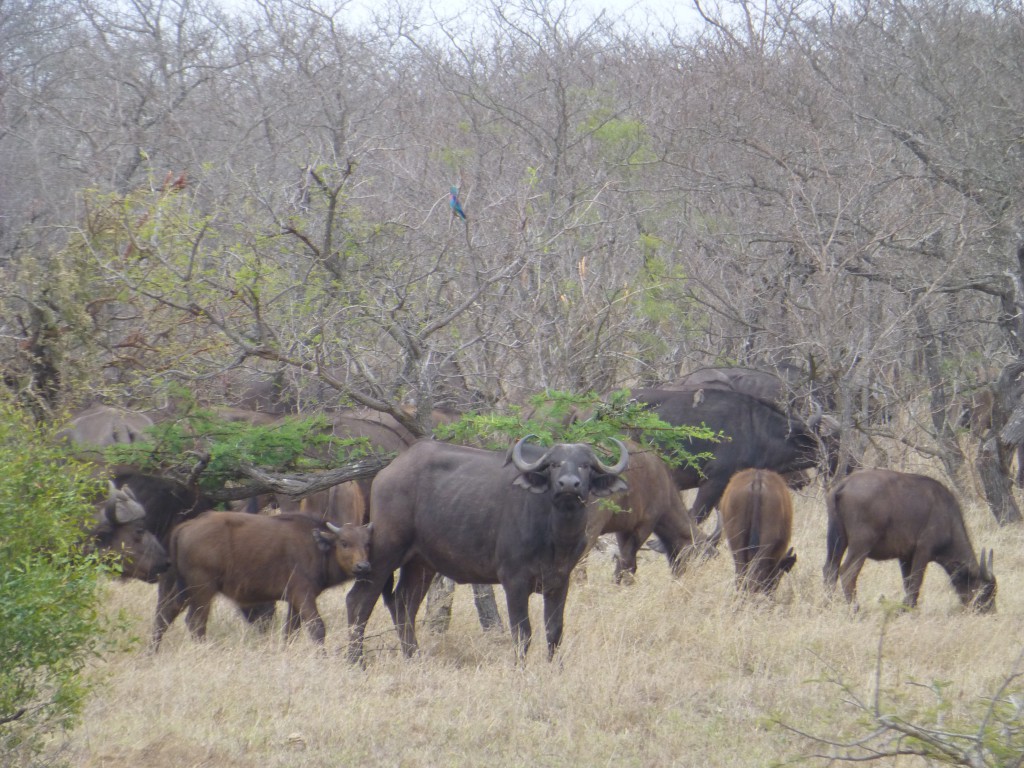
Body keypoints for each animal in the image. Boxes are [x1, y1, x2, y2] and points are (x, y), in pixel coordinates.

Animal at [149, 512, 374, 651]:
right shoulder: (303, 594)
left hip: (183, 590)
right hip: (202, 589)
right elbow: (317, 627)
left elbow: (290, 631)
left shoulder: (294, 601)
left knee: (164, 616)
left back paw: (152, 652)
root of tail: (185, 526)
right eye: (344, 543)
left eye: (367, 543)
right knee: (195, 622)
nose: (363, 566)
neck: (316, 546)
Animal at [348, 436, 626, 663]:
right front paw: (520, 668)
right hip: (385, 553)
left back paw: (413, 657)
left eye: (585, 465)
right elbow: (522, 631)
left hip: (420, 564)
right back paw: (356, 660)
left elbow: (554, 630)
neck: (555, 535)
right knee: (359, 601)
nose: (569, 485)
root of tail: (386, 473)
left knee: (404, 604)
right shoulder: (514, 580)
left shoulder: (560, 580)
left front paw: (554, 668)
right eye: (554, 464)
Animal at [823, 468, 999, 614]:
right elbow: (915, 583)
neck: (948, 518)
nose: (990, 612)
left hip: (836, 540)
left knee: (830, 570)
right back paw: (855, 609)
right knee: (847, 572)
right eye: (986, 591)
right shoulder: (923, 552)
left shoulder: (905, 557)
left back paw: (827, 606)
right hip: (861, 545)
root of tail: (844, 485)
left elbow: (907, 584)